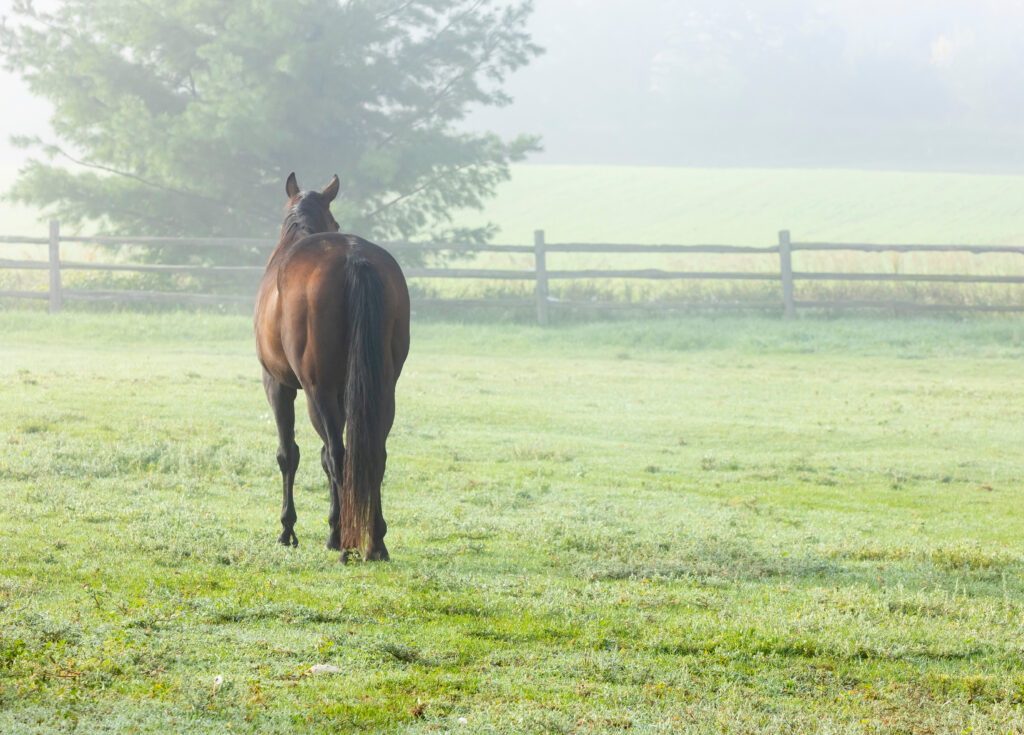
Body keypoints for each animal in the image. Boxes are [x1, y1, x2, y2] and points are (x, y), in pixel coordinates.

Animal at [254, 173, 410, 562]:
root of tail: (354, 257)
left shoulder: (277, 385)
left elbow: (290, 454)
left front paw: (288, 530)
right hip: (381, 390)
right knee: (373, 454)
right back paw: (376, 542)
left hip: (317, 391)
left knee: (338, 456)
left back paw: (344, 541)